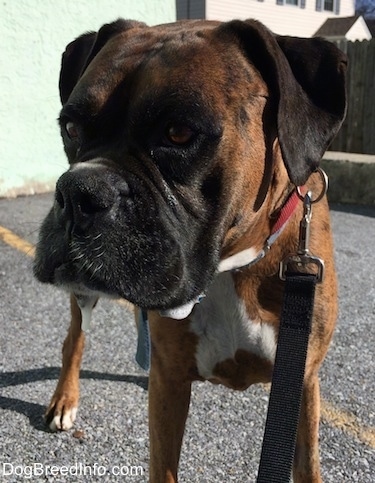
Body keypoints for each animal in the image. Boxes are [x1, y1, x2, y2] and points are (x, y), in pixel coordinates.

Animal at [33, 17, 348, 482]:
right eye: (70, 129)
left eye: (178, 134)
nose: (78, 191)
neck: (233, 267)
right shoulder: (170, 391)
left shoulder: (301, 382)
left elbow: (307, 466)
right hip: (83, 295)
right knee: (74, 339)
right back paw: (64, 399)